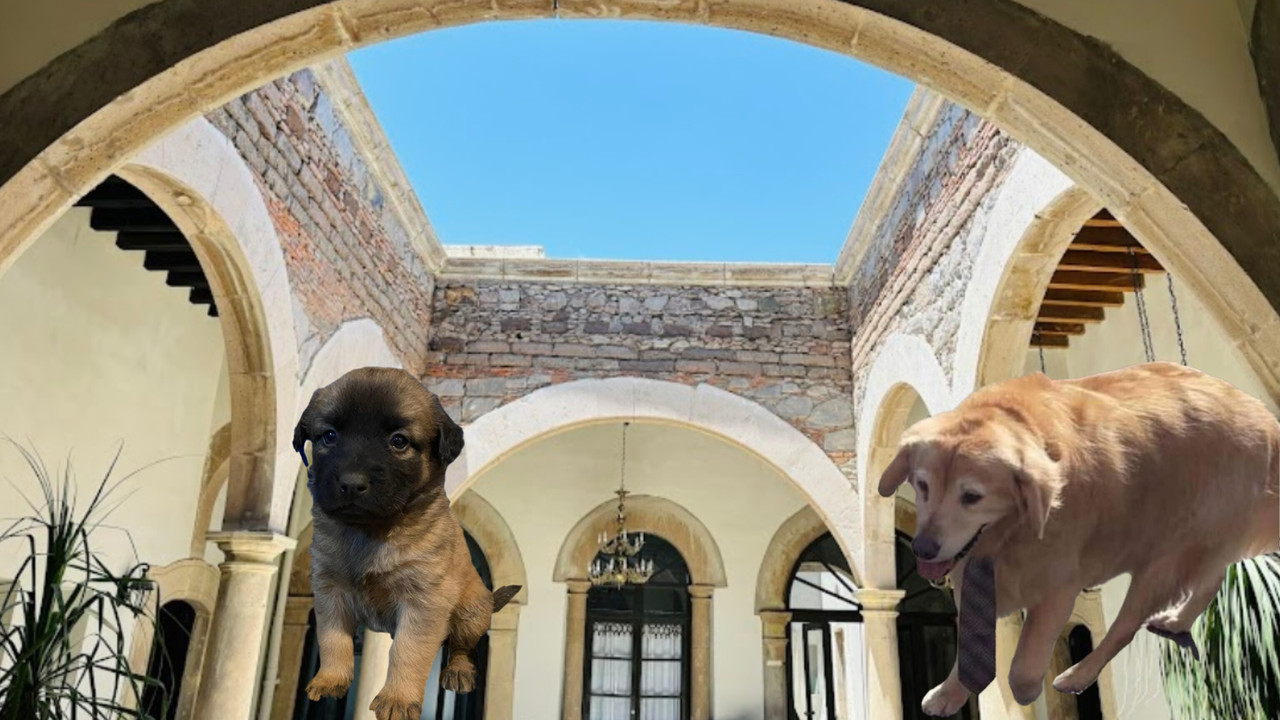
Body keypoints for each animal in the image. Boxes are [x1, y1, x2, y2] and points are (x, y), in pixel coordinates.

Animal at [293, 366, 519, 717]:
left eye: (399, 441)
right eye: (329, 436)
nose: (351, 484)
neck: (370, 532)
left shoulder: (422, 601)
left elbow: (407, 651)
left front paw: (397, 699)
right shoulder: (330, 591)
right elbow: (333, 640)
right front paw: (331, 680)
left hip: (470, 612)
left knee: (462, 648)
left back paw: (458, 672)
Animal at [880, 361, 1280, 712]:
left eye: (972, 496)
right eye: (922, 485)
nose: (923, 549)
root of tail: (1264, 417)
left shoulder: (1058, 588)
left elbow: (1022, 666)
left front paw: (1026, 691)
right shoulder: (972, 579)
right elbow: (970, 648)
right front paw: (950, 693)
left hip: (1166, 554)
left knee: (1125, 627)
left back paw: (1078, 675)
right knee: (1211, 581)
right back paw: (1176, 622)